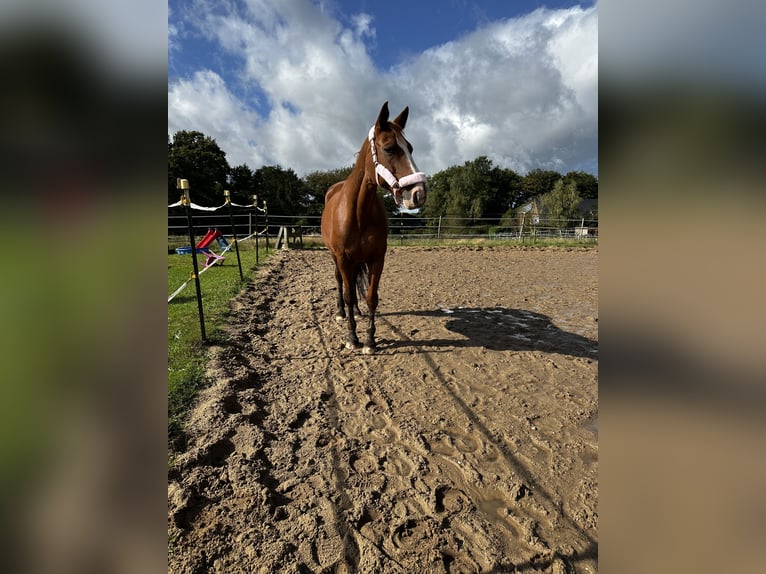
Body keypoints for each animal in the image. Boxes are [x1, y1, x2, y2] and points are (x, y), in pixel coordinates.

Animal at [320, 102, 428, 356]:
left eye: (410, 148)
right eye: (389, 148)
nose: (418, 193)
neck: (358, 213)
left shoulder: (377, 258)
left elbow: (371, 297)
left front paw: (370, 341)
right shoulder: (343, 258)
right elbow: (349, 295)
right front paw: (352, 338)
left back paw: (357, 313)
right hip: (335, 257)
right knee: (341, 282)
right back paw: (342, 313)